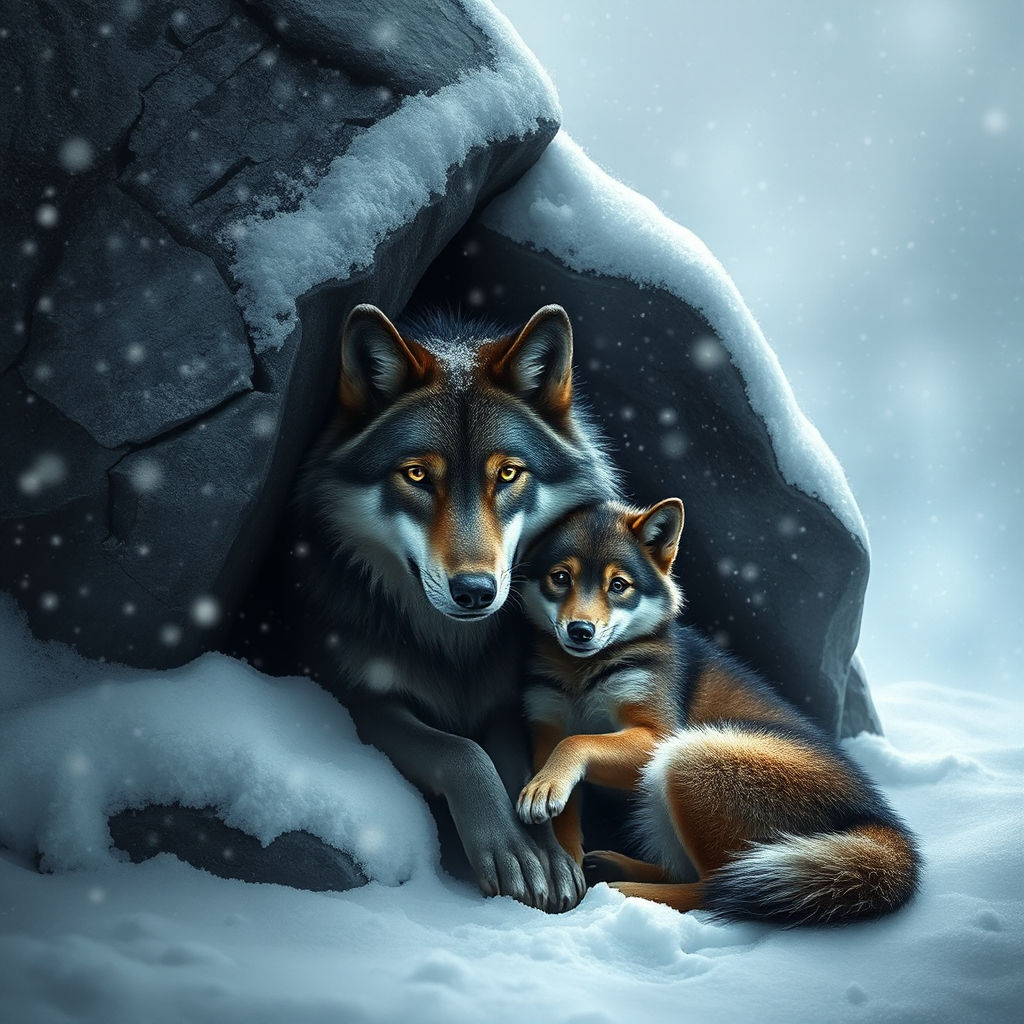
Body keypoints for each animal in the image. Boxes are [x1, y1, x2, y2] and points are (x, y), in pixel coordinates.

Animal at [289, 303, 619, 911]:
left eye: (508, 473)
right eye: (417, 474)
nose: (475, 590)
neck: (454, 650)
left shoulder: (504, 701)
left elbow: (518, 763)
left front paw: (545, 848)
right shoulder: (359, 700)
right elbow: (461, 751)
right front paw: (511, 850)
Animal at [517, 499, 920, 924]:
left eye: (619, 585)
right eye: (561, 578)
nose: (581, 631)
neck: (583, 675)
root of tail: (878, 821)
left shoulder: (657, 733)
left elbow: (579, 742)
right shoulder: (545, 730)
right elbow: (561, 814)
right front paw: (565, 863)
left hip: (688, 755)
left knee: (714, 886)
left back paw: (622, 891)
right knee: (691, 873)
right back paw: (609, 866)